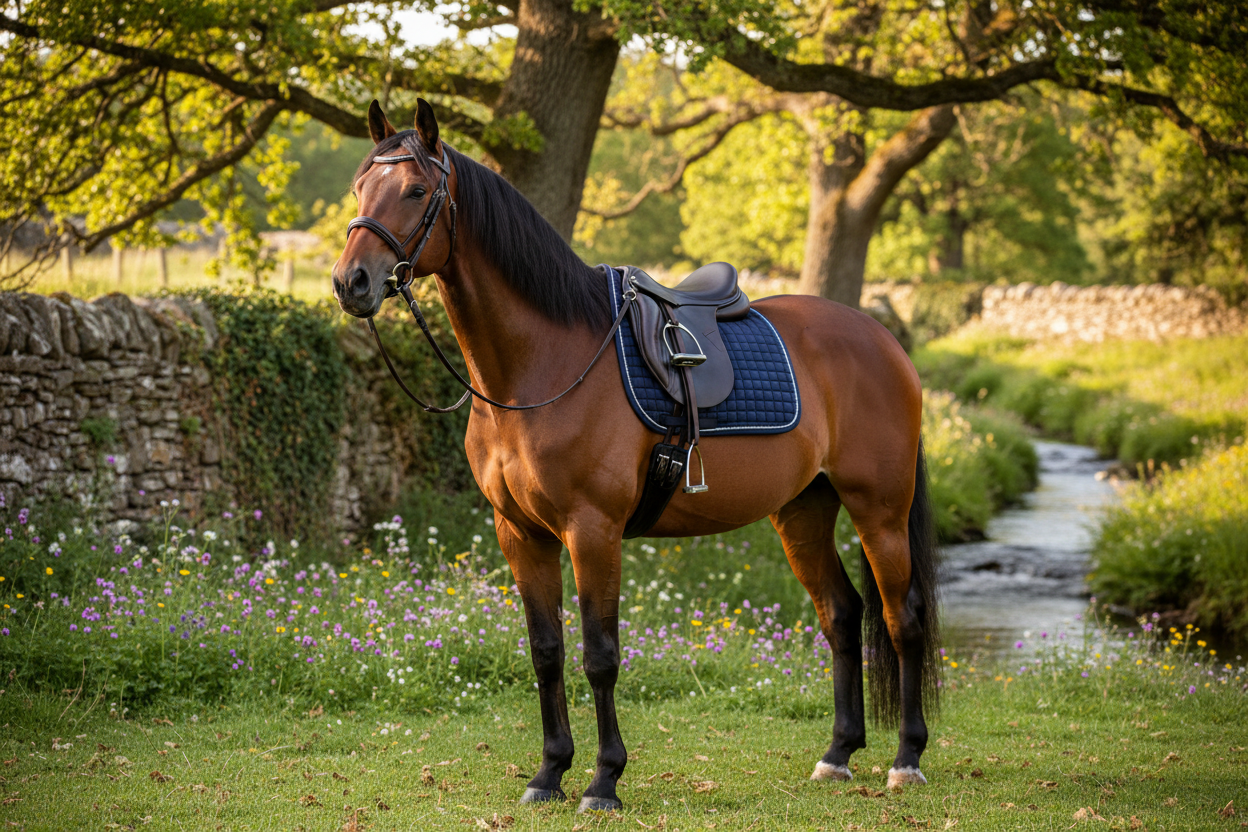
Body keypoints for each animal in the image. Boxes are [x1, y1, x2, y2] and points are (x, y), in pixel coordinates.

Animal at [332, 99, 940, 812]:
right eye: (359, 187)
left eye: (415, 190)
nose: (351, 281)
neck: (541, 367)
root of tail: (884, 339)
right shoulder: (521, 533)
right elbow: (546, 651)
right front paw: (548, 773)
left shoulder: (592, 530)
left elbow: (599, 655)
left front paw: (603, 780)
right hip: (802, 512)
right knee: (842, 616)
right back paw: (838, 754)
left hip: (880, 510)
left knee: (903, 620)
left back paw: (906, 759)